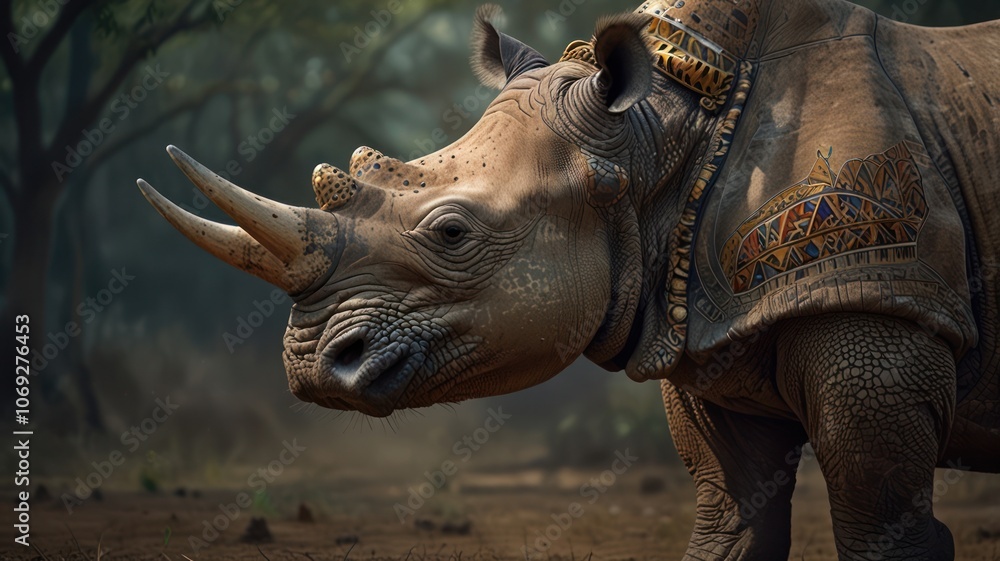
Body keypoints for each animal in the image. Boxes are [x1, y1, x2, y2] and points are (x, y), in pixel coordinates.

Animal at [137, 0, 1000, 559]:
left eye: (451, 232)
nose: (310, 364)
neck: (659, 140)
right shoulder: (707, 332)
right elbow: (731, 523)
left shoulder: (884, 300)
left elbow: (880, 530)